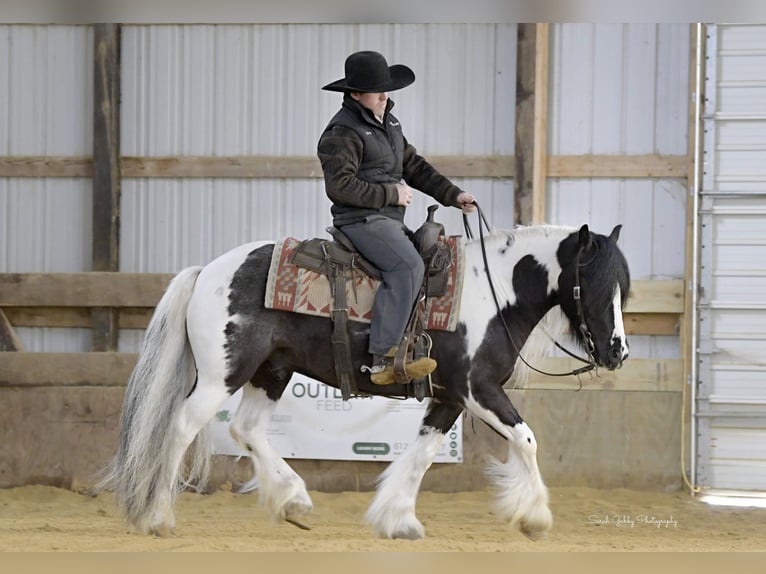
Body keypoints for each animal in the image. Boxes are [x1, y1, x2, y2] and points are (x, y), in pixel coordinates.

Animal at [99, 219, 632, 540]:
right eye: (595, 286)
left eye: (623, 287)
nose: (618, 351)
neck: (495, 291)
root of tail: (207, 271)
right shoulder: (478, 389)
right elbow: (526, 439)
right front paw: (534, 516)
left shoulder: (449, 397)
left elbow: (423, 455)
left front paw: (397, 518)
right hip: (221, 375)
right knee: (183, 426)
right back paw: (158, 516)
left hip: (272, 371)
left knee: (245, 428)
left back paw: (292, 499)